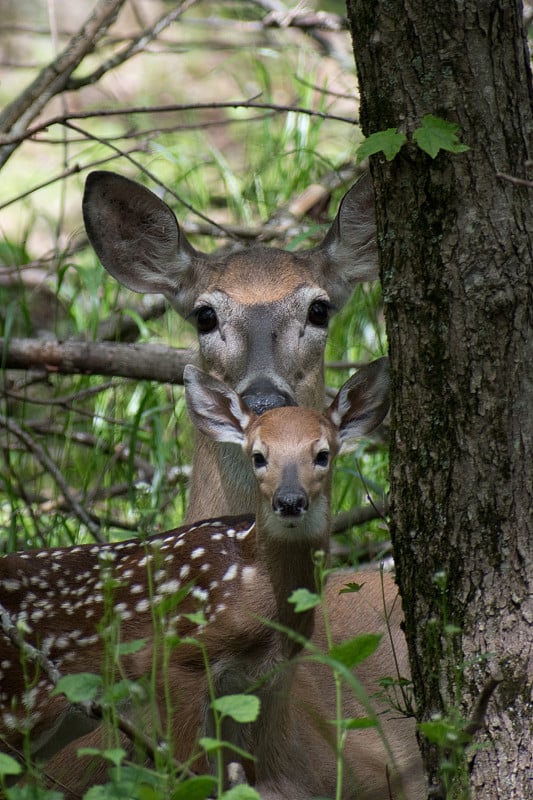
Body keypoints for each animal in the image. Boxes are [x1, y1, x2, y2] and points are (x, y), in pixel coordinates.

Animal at [0, 364, 424, 800]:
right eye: (258, 456)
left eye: (322, 454)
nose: (289, 501)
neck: (254, 588)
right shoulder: (174, 658)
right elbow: (188, 776)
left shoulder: (250, 687)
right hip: (19, 700)